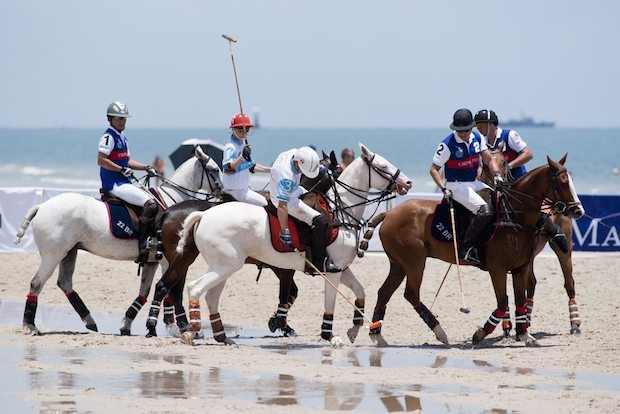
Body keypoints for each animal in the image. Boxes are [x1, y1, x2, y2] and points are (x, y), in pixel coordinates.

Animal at [14, 146, 224, 336]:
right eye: (214, 169)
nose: (223, 192)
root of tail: (41, 206)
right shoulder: (168, 260)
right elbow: (169, 292)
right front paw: (174, 327)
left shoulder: (151, 261)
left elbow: (144, 292)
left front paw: (128, 325)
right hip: (53, 254)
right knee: (37, 282)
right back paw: (30, 325)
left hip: (69, 252)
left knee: (64, 282)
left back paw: (89, 321)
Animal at [174, 144, 412, 344]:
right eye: (383, 166)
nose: (408, 183)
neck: (341, 210)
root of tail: (203, 215)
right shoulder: (332, 271)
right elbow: (329, 303)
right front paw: (330, 336)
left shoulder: (341, 268)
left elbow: (360, 291)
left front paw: (354, 329)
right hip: (225, 265)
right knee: (195, 288)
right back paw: (191, 331)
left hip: (224, 266)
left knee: (211, 295)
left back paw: (223, 337)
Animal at [366, 154, 584, 346]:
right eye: (563, 182)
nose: (578, 210)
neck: (514, 216)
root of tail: (389, 214)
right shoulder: (498, 269)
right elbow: (503, 302)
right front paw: (480, 334)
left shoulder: (519, 269)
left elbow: (519, 301)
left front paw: (525, 335)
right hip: (414, 262)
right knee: (411, 294)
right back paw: (440, 332)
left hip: (399, 264)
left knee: (384, 292)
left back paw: (378, 336)